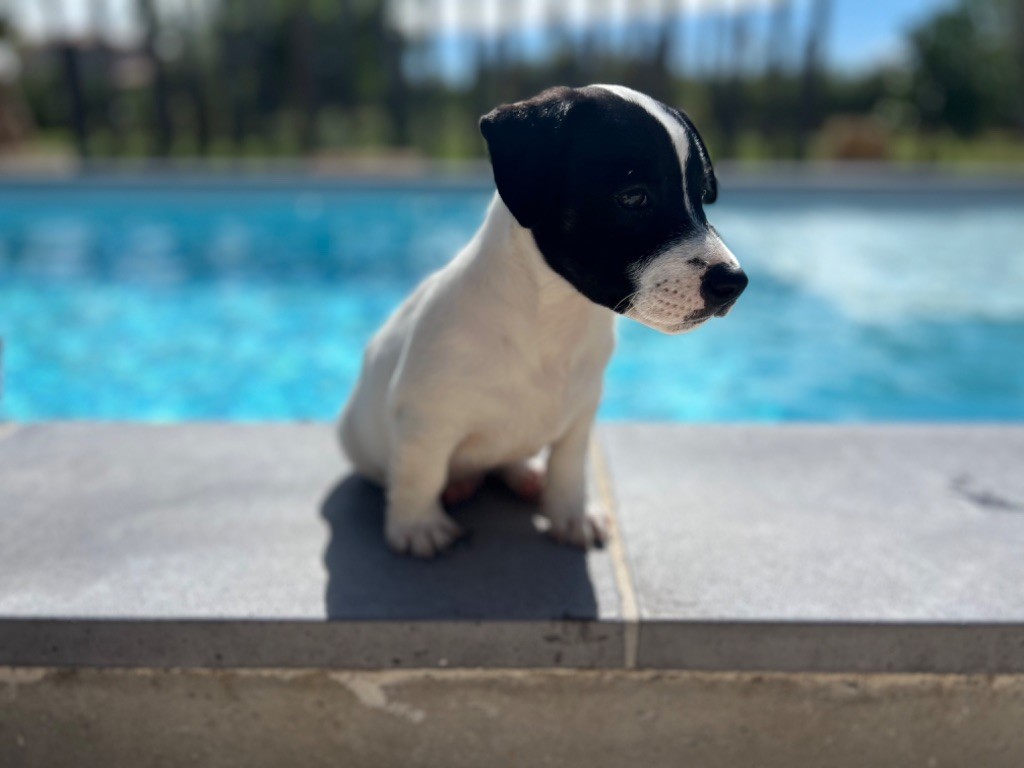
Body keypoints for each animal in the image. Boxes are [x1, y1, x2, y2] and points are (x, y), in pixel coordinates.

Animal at [339, 85, 749, 561]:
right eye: (633, 197)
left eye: (702, 196)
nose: (734, 283)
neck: (554, 318)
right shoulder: (426, 419)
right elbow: (419, 472)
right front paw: (417, 525)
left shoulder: (580, 414)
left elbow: (569, 467)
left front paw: (570, 515)